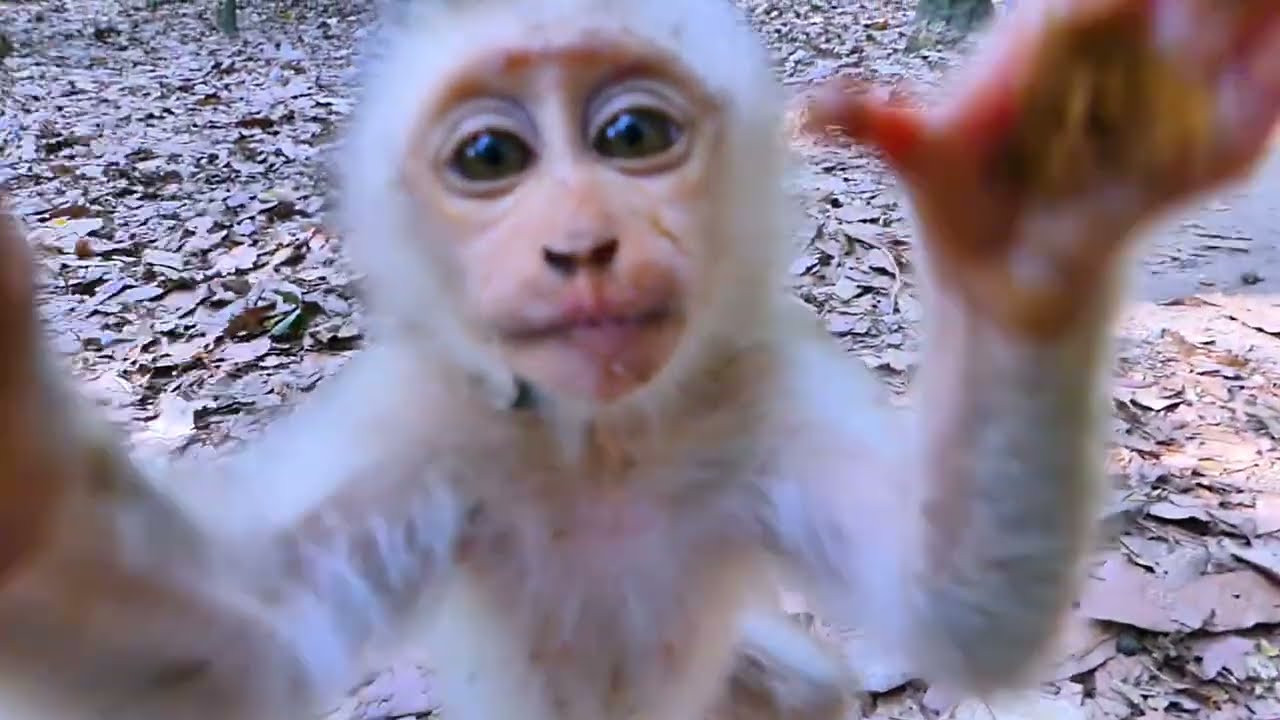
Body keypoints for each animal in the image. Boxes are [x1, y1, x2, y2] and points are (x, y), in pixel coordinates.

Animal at [0, 0, 1277, 719]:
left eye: (630, 137)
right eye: (489, 158)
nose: (581, 245)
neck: (601, 447)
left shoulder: (752, 389)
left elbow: (958, 611)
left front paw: (1048, 197)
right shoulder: (430, 416)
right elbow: (243, 646)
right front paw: (32, 486)